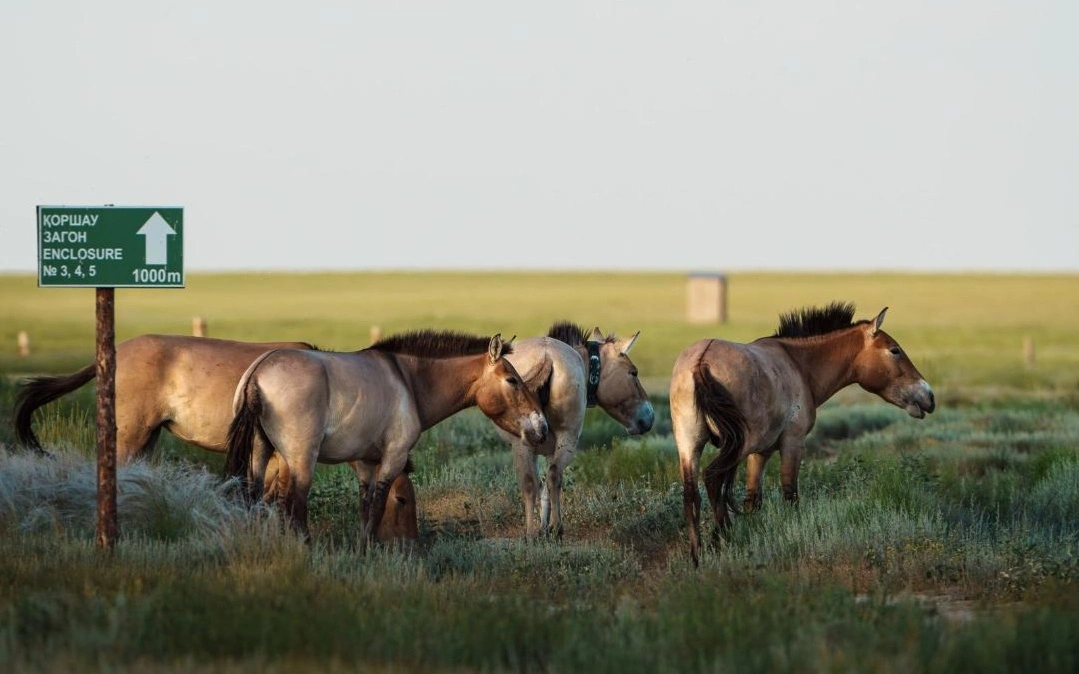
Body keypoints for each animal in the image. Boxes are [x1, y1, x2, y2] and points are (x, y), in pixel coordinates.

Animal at [13, 334, 419, 543]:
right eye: (402, 500)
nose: (411, 545)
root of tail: (113, 352)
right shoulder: (282, 457)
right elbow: (273, 500)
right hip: (130, 435)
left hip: (146, 437)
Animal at [224, 330, 548, 541]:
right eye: (513, 380)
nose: (542, 426)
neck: (409, 382)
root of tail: (258, 373)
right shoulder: (393, 457)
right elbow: (379, 507)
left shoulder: (366, 463)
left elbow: (365, 508)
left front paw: (362, 549)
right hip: (301, 461)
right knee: (295, 507)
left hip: (260, 454)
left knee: (255, 498)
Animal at [499, 321, 654, 538]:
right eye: (633, 372)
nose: (649, 417)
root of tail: (547, 357)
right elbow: (546, 486)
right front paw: (546, 527)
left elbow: (540, 486)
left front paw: (542, 528)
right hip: (567, 440)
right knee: (553, 476)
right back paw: (557, 529)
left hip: (524, 445)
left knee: (531, 482)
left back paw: (532, 534)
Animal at [670, 303, 936, 565]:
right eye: (895, 350)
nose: (929, 397)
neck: (798, 365)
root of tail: (702, 361)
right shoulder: (793, 442)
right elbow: (790, 493)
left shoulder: (761, 452)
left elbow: (753, 499)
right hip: (737, 445)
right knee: (713, 478)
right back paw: (721, 539)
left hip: (690, 445)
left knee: (691, 495)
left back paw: (697, 556)